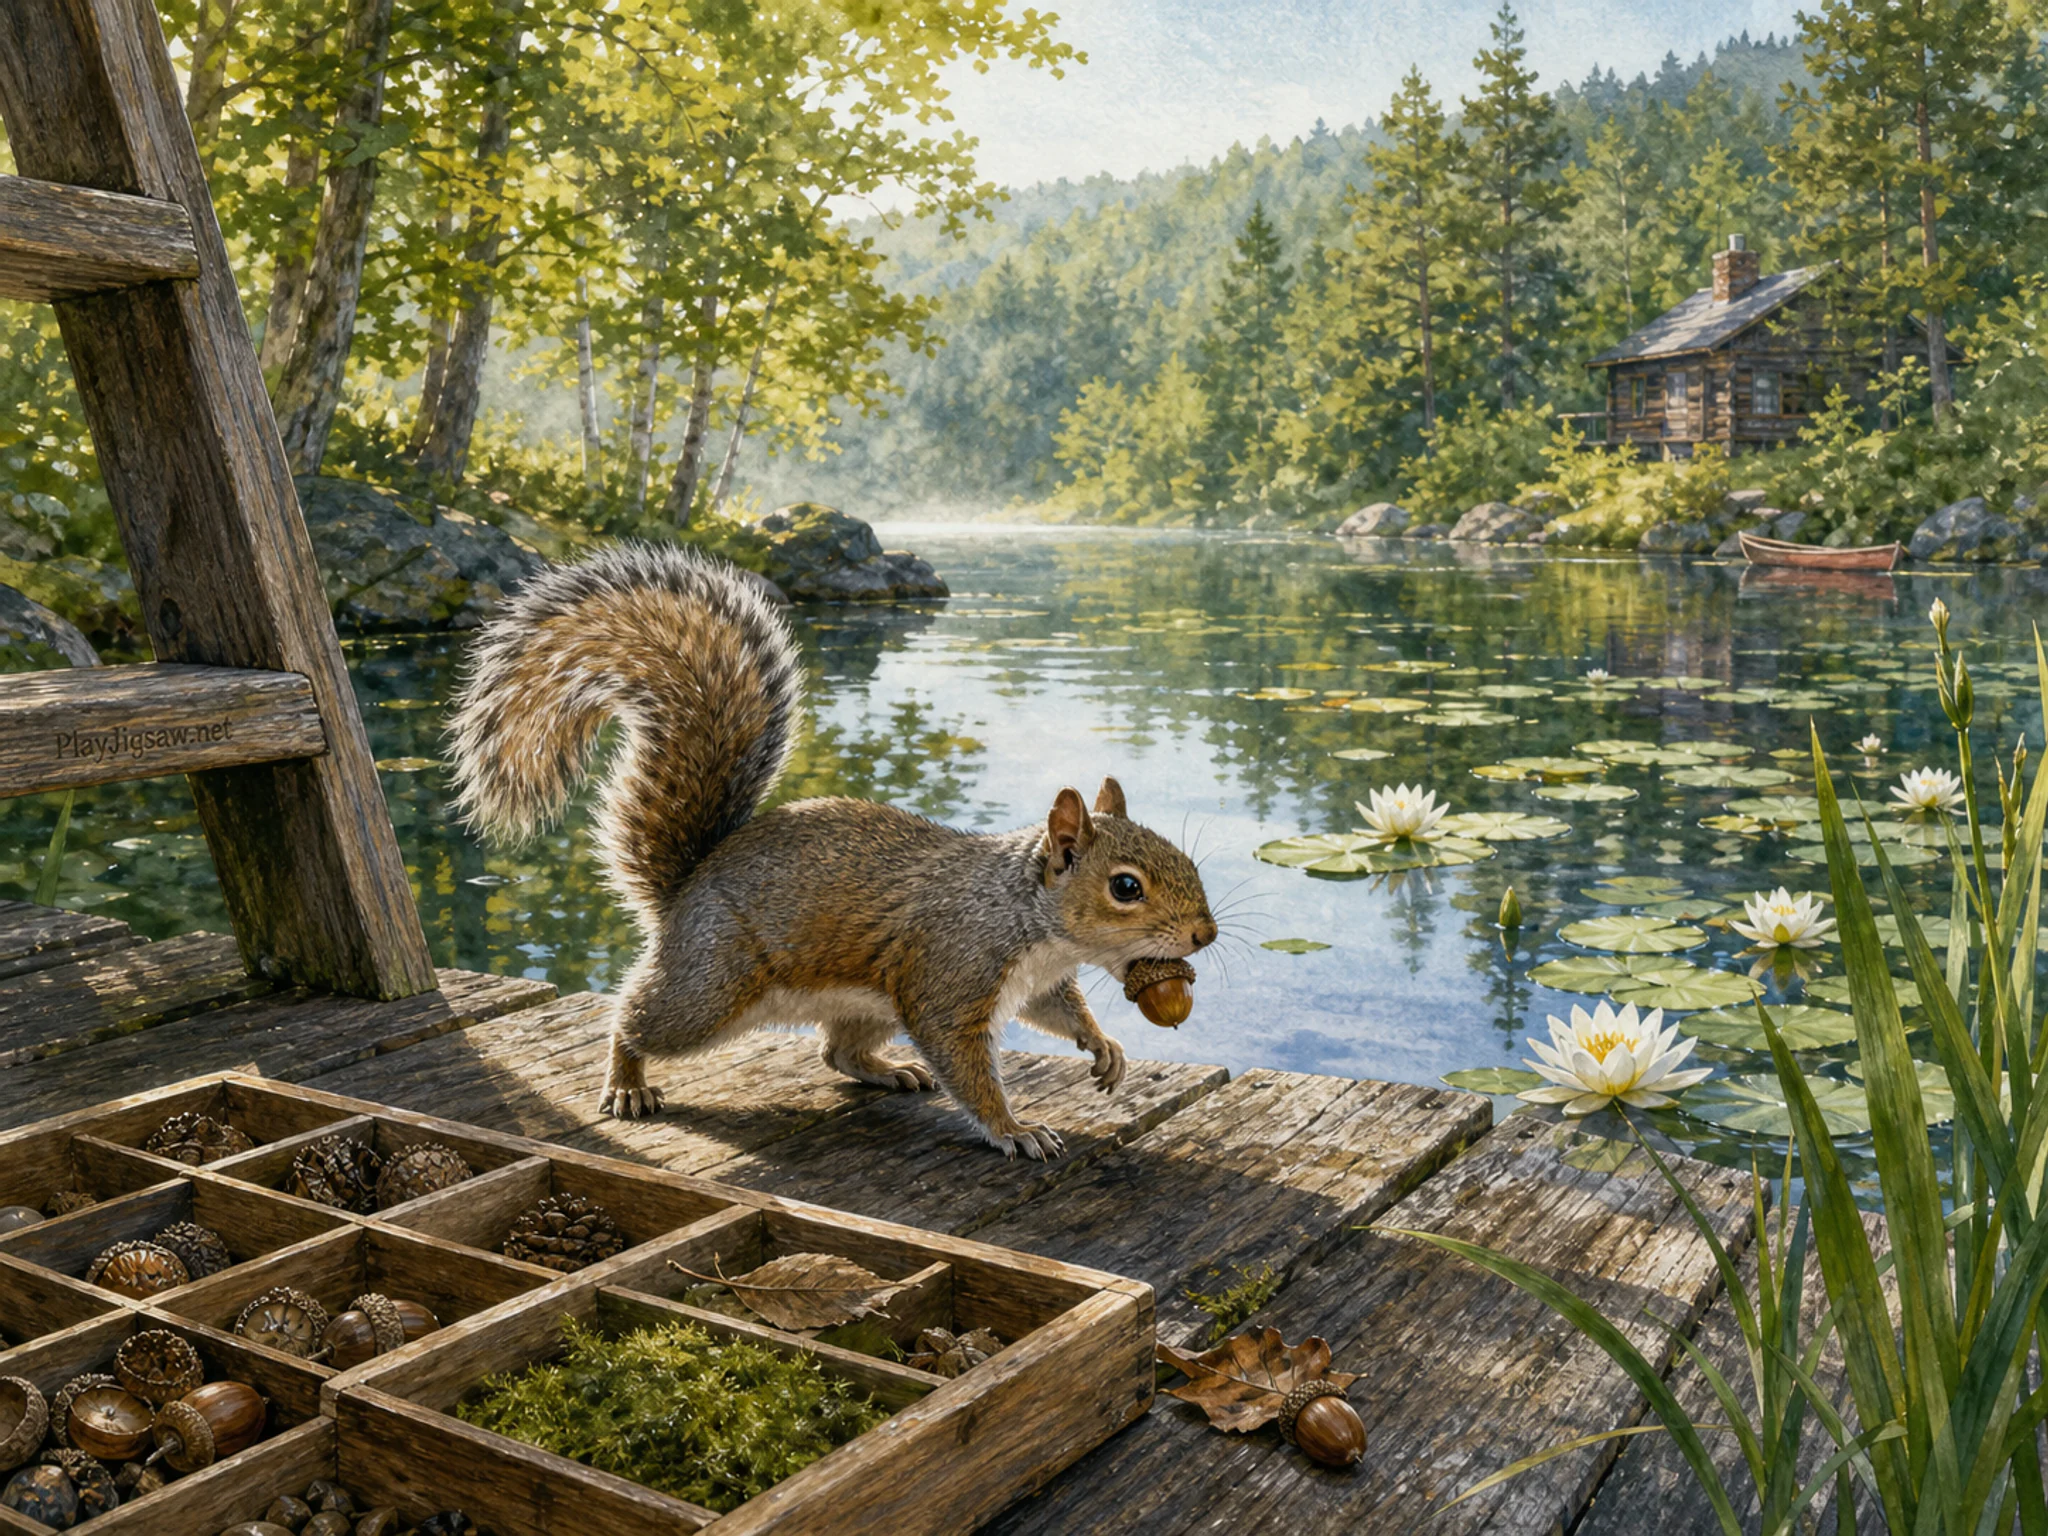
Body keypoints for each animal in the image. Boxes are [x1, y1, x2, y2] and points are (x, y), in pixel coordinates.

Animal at [446, 542, 1218, 1160]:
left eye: (1184, 860)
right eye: (1126, 887)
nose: (1204, 935)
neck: (1029, 919)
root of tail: (685, 888)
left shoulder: (1036, 980)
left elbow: (1061, 1013)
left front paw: (1104, 1048)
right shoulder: (953, 969)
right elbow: (965, 1064)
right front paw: (1014, 1129)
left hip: (863, 1002)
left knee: (837, 1049)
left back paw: (890, 1070)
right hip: (711, 986)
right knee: (637, 1020)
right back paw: (627, 1080)